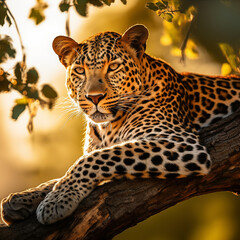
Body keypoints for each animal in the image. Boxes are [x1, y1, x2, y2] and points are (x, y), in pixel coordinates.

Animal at [0, 24, 240, 225]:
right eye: (80, 70)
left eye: (113, 67)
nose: (94, 97)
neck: (106, 127)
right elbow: (61, 175)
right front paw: (21, 198)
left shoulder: (180, 143)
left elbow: (91, 160)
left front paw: (56, 201)